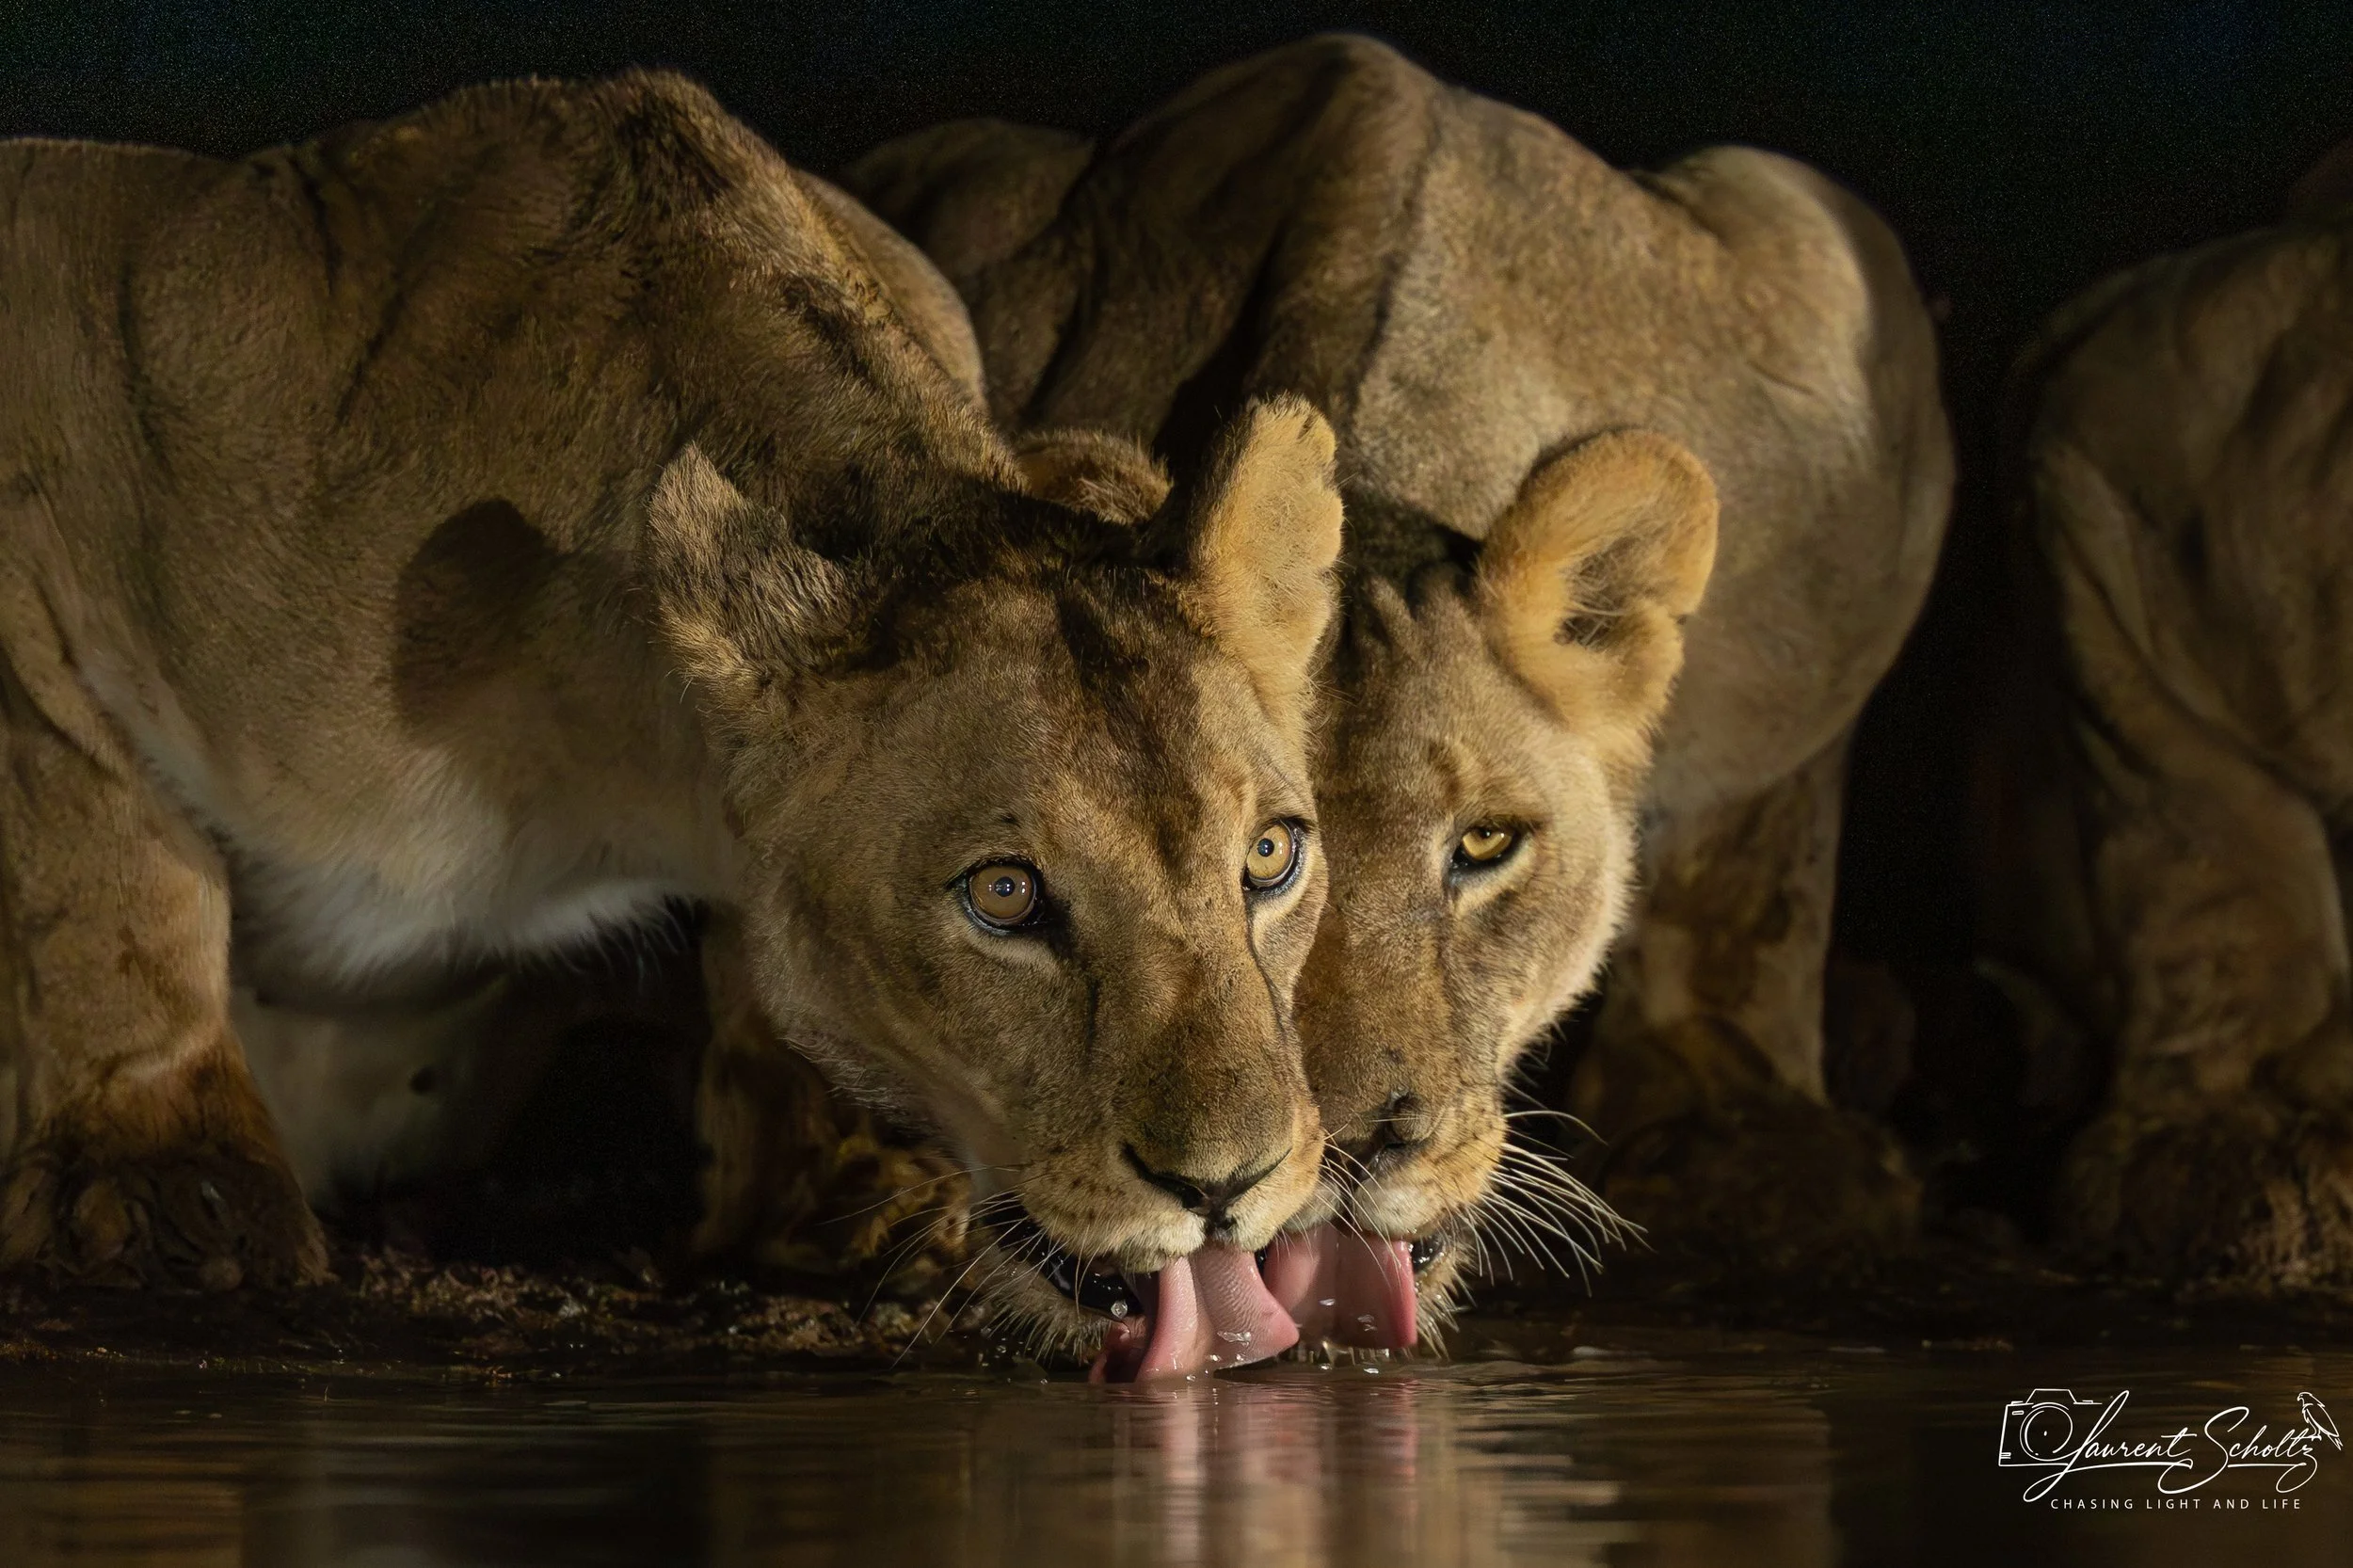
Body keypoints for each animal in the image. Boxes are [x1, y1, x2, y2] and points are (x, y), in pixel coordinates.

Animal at [0, 70, 1352, 1375]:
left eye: (1270, 856)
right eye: (1005, 895)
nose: (1225, 1187)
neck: (622, 774)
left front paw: (842, 1198)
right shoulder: (72, 363)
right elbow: (112, 866)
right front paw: (175, 1191)